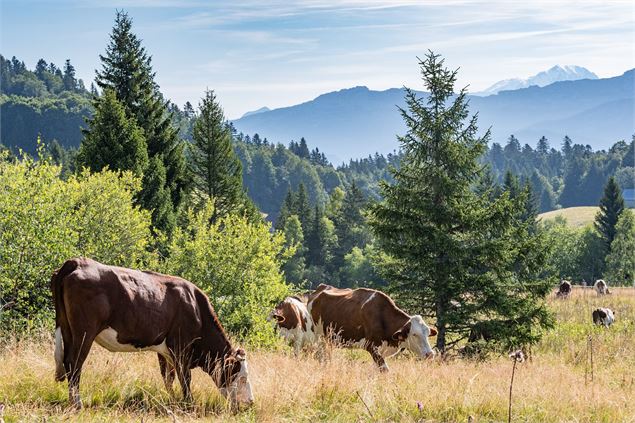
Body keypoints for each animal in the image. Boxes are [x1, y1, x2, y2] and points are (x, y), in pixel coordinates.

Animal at [51, 258, 253, 410]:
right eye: (242, 378)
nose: (250, 403)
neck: (196, 309)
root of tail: (77, 261)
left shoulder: (165, 351)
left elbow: (168, 377)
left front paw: (171, 400)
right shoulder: (181, 348)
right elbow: (185, 378)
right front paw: (189, 404)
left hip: (67, 329)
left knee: (68, 362)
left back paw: (72, 401)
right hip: (84, 332)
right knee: (75, 363)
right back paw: (77, 404)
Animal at [306, 284, 438, 372]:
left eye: (427, 333)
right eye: (414, 334)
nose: (430, 354)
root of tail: (321, 288)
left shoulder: (382, 351)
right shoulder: (371, 347)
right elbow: (384, 369)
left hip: (329, 340)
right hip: (318, 337)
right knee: (321, 356)